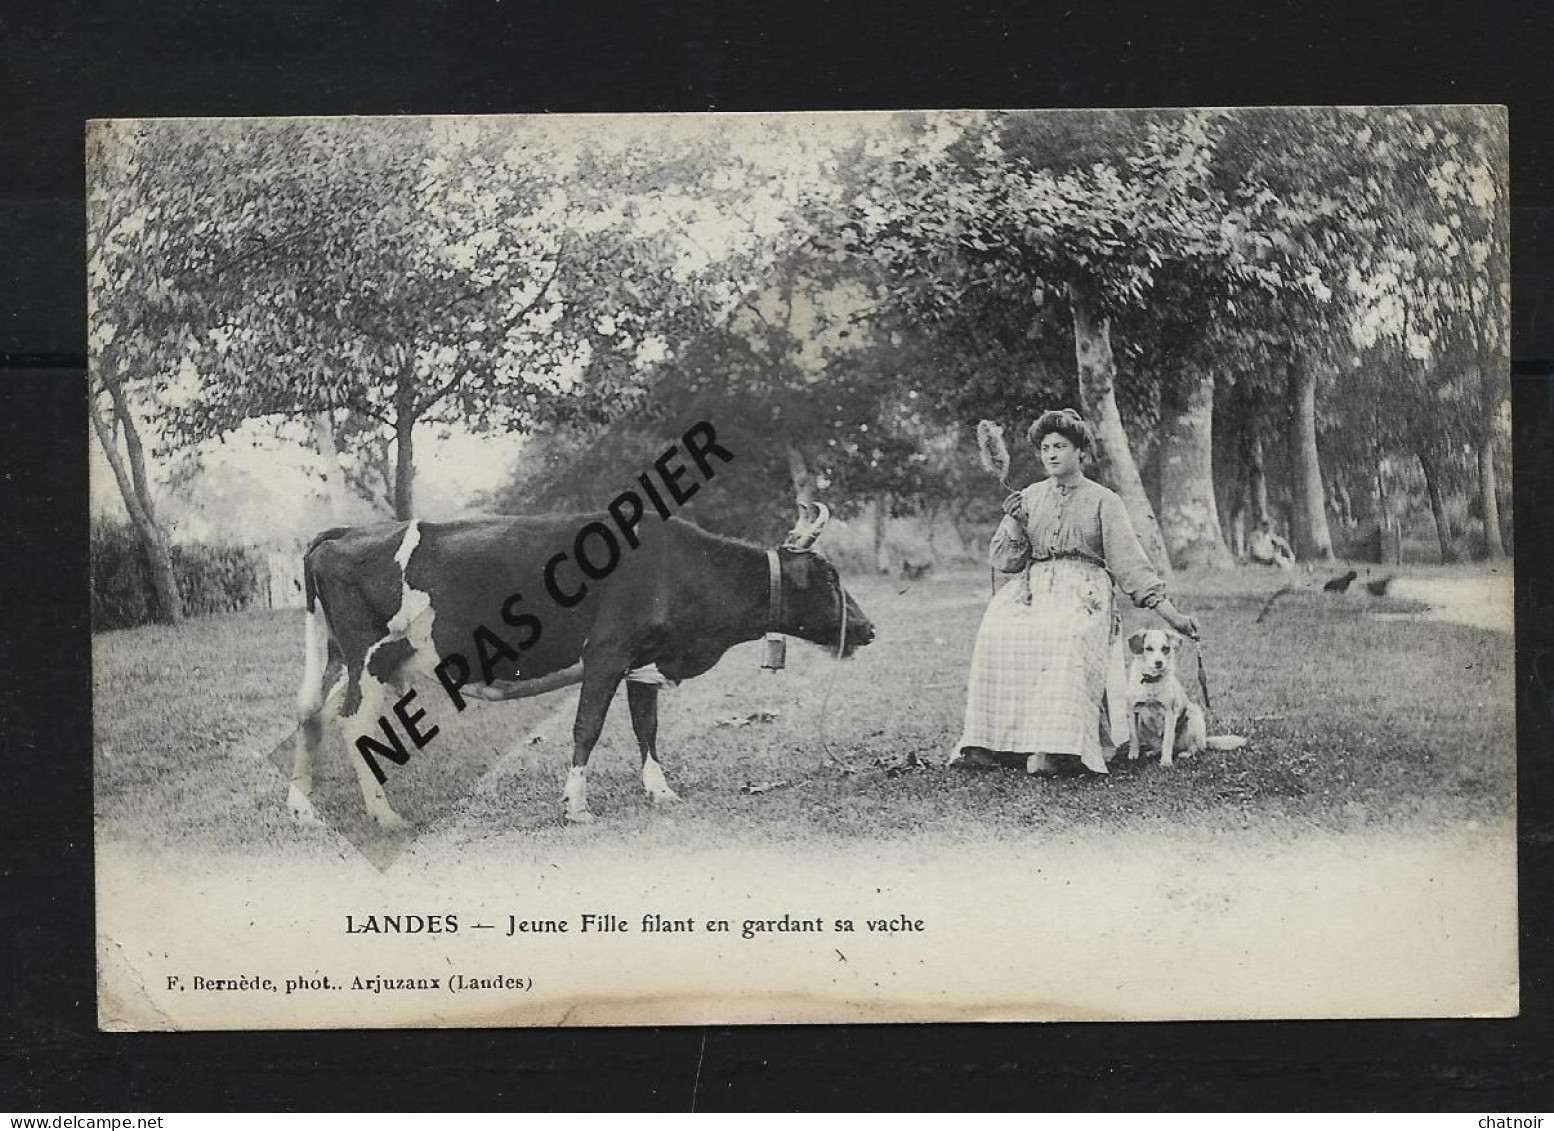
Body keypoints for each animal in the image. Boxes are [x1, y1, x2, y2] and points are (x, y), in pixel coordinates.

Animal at [292, 503, 876, 820]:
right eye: (830, 579)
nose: (868, 629)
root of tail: (346, 531)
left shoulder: (645, 661)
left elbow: (646, 727)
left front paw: (660, 791)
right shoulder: (606, 653)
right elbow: (587, 726)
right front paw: (575, 804)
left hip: (342, 657)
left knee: (310, 713)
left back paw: (304, 809)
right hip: (368, 656)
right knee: (352, 724)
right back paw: (383, 814)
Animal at [1125, 627, 1243, 767]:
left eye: (1165, 648)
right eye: (1148, 648)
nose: (1159, 663)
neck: (1152, 681)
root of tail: (1205, 740)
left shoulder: (1169, 712)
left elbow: (1167, 740)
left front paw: (1166, 761)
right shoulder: (1132, 711)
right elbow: (1133, 736)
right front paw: (1133, 754)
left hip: (1193, 717)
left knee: (1194, 748)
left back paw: (1186, 753)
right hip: (1142, 725)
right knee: (1159, 746)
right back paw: (1153, 752)